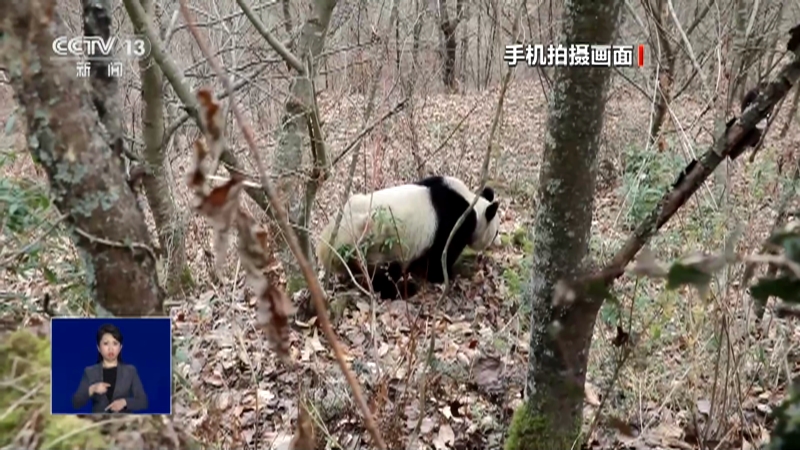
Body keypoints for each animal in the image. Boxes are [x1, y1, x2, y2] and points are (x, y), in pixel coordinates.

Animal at [314, 176, 496, 298]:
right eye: (495, 234)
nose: (494, 245)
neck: (472, 204)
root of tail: (326, 245)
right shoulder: (454, 222)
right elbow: (440, 256)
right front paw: (445, 275)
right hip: (370, 243)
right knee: (380, 274)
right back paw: (404, 289)